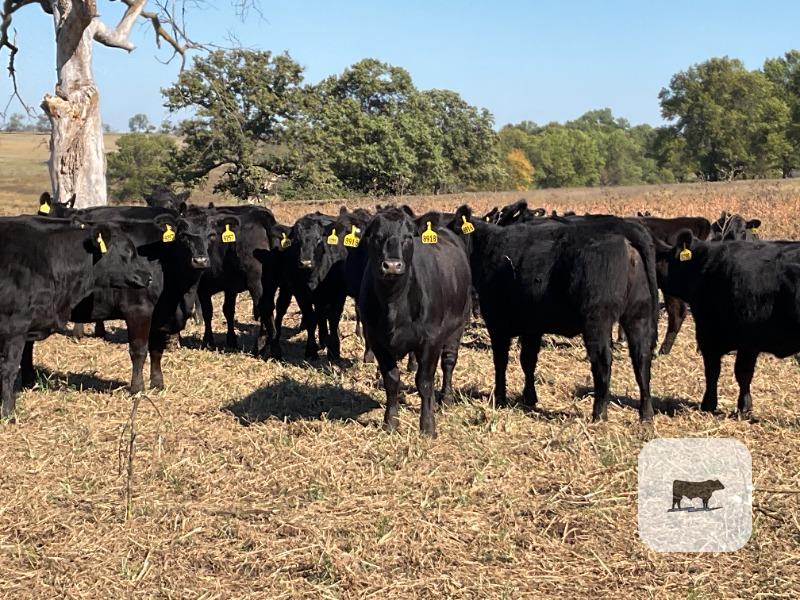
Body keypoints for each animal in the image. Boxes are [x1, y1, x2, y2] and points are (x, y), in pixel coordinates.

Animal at [358, 207, 472, 436]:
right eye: (375, 236)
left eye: (408, 237)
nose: (392, 265)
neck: (393, 303)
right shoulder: (377, 340)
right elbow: (392, 380)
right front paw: (390, 422)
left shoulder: (431, 340)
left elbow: (424, 382)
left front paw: (427, 426)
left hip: (457, 326)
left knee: (448, 362)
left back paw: (446, 398)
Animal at [446, 206, 659, 422]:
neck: (488, 247)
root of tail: (626, 229)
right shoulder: (531, 328)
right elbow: (528, 360)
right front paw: (529, 397)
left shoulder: (498, 324)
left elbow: (501, 362)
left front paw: (500, 398)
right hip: (638, 315)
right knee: (641, 359)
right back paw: (646, 414)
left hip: (597, 321)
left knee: (603, 361)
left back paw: (599, 412)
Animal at [656, 231, 800, 416]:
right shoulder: (748, 344)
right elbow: (744, 374)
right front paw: (744, 407)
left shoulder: (711, 336)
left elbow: (716, 372)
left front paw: (710, 405)